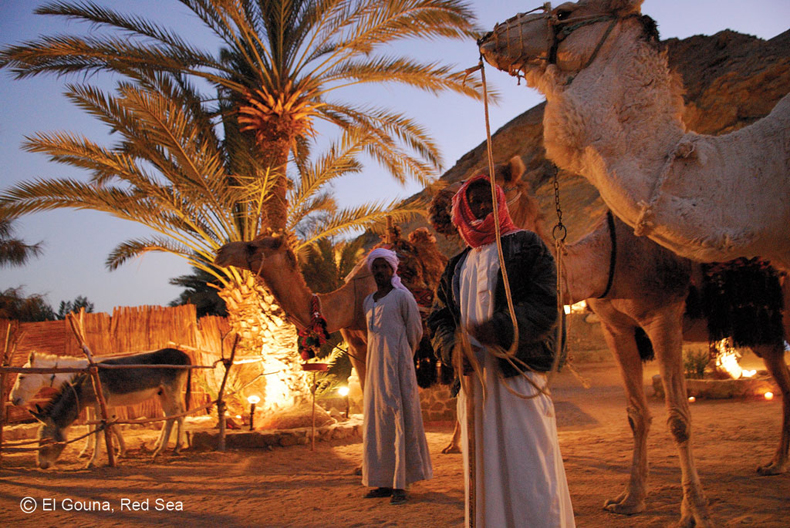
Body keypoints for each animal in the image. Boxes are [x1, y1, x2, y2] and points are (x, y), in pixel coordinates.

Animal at [434, 161, 790, 528]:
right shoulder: (615, 328)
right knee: (785, 386)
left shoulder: (663, 316)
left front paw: (696, 511)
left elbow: (678, 419)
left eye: (489, 181)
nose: (439, 203)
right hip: (766, 333)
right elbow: (636, 414)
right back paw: (774, 463)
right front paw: (629, 500)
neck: (607, 262)